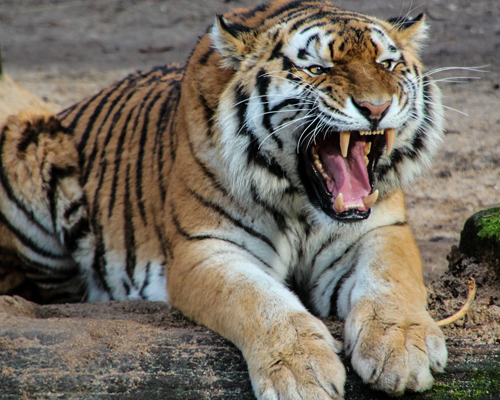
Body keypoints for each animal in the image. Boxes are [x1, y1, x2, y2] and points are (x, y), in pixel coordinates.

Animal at [0, 0, 450, 396]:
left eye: (386, 64)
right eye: (316, 69)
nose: (376, 107)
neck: (301, 204)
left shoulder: (381, 229)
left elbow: (392, 280)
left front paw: (402, 351)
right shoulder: (206, 248)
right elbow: (260, 300)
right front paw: (301, 373)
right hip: (29, 139)